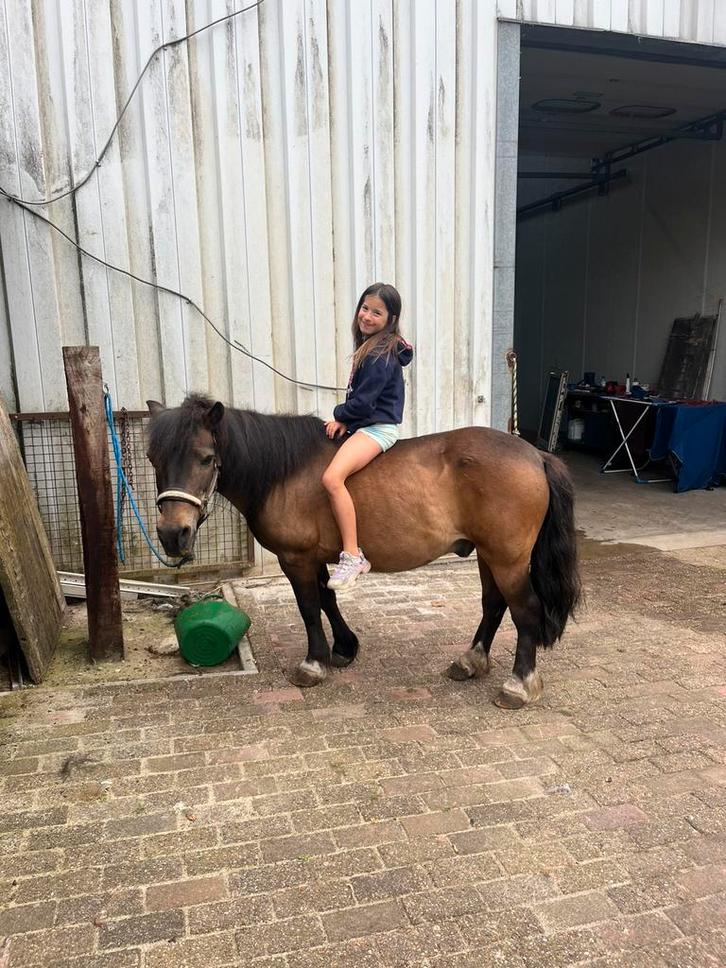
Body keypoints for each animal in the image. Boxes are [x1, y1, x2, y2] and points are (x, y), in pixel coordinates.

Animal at [145, 395, 580, 708]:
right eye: (153, 459)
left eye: (206, 458)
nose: (172, 534)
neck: (284, 471)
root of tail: (535, 455)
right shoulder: (317, 557)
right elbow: (327, 600)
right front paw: (344, 648)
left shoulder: (295, 558)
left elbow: (309, 607)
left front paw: (314, 663)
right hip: (490, 555)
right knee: (494, 605)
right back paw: (470, 661)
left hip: (507, 558)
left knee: (525, 611)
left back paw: (518, 685)